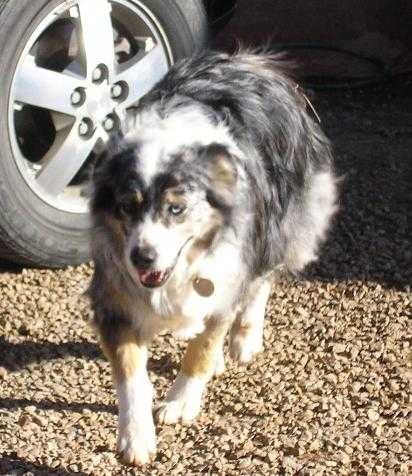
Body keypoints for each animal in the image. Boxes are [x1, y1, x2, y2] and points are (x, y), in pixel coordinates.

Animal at [87, 48, 338, 464]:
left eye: (176, 209)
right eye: (125, 206)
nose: (142, 257)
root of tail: (255, 60)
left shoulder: (229, 270)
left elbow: (202, 348)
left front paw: (180, 402)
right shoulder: (113, 295)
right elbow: (129, 370)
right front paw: (135, 436)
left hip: (288, 221)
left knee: (263, 279)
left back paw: (243, 338)